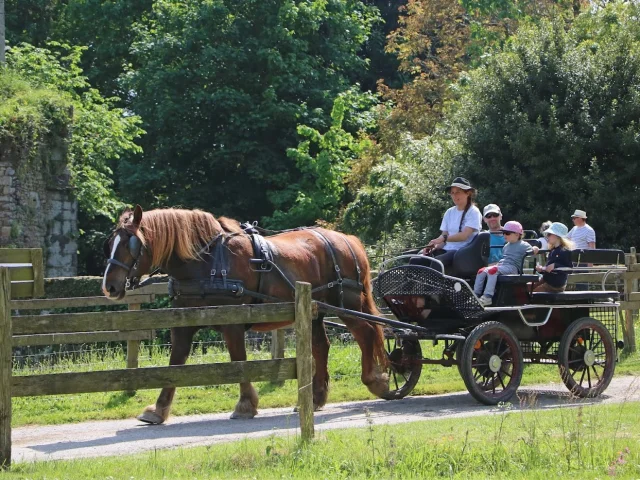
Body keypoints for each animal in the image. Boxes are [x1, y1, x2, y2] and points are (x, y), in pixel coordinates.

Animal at [102, 206, 388, 424]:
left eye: (131, 244)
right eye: (111, 244)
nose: (110, 287)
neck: (208, 262)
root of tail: (347, 240)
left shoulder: (233, 322)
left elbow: (239, 361)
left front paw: (245, 405)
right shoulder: (183, 324)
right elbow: (175, 363)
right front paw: (158, 410)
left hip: (347, 304)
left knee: (366, 333)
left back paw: (375, 380)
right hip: (315, 312)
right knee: (321, 346)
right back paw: (316, 398)